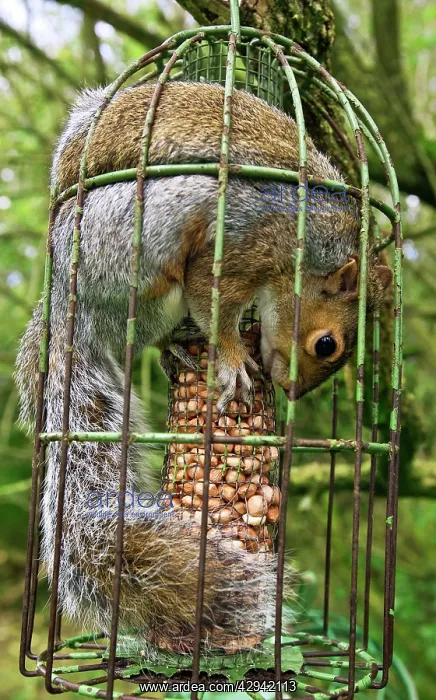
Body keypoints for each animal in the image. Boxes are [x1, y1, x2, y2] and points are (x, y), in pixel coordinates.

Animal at [16, 80, 392, 655]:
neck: (312, 244)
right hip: (145, 244)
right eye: (327, 344)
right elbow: (212, 299)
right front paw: (234, 360)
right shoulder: (245, 244)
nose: (289, 390)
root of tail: (63, 298)